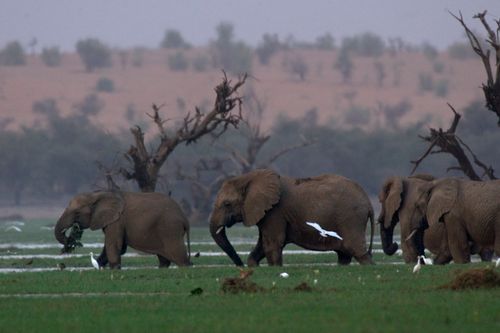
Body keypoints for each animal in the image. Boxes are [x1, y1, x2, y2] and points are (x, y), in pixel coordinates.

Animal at [54, 191, 191, 268]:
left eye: (77, 213)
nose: (71, 240)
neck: (98, 195)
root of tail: (184, 217)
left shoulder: (117, 221)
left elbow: (114, 245)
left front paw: (114, 268)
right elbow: (115, 247)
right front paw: (99, 265)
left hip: (170, 228)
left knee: (179, 256)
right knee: (164, 259)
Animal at [208, 167, 376, 266]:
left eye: (227, 204)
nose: (240, 266)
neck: (249, 178)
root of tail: (369, 203)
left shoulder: (275, 212)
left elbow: (272, 244)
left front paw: (275, 269)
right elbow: (262, 245)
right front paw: (253, 265)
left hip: (351, 218)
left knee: (357, 251)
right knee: (344, 255)